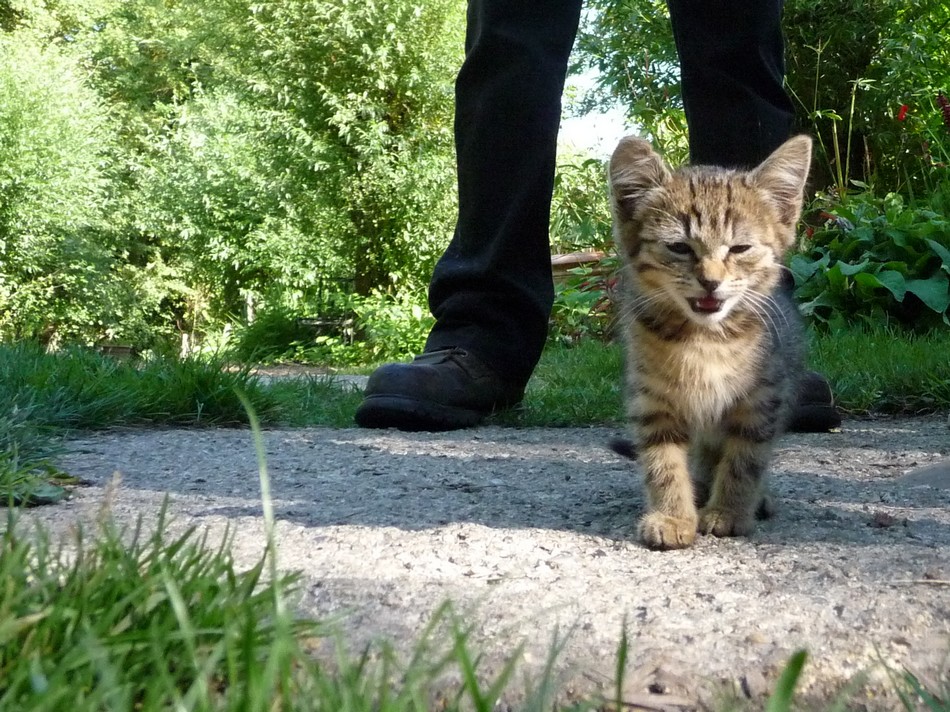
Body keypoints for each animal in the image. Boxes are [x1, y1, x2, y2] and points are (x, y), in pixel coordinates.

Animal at [608, 134, 812, 552]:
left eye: (739, 249)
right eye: (680, 248)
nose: (711, 282)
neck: (705, 339)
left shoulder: (762, 400)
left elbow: (745, 459)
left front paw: (729, 511)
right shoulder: (653, 400)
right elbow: (662, 461)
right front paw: (673, 515)